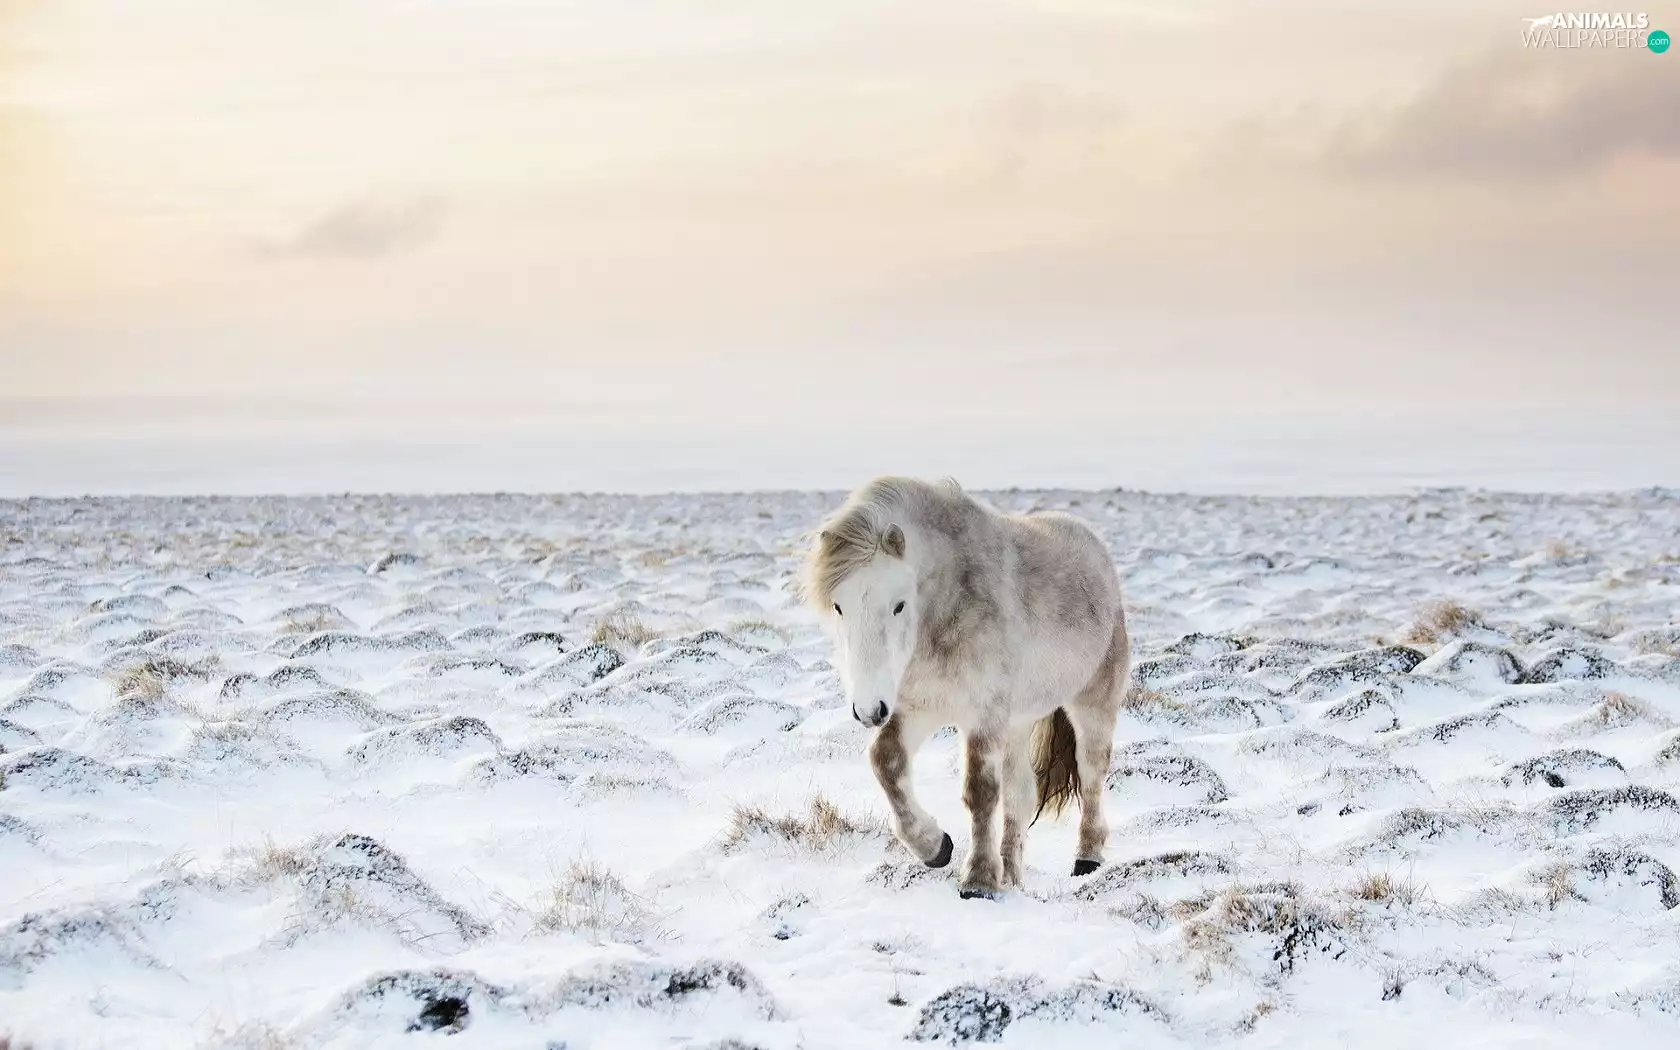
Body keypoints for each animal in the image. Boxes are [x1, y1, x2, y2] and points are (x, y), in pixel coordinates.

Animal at [803, 476, 1130, 899]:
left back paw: (1087, 860)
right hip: (1017, 722)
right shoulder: (920, 707)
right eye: (838, 606)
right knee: (1021, 795)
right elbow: (886, 762)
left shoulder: (983, 714)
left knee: (1090, 774)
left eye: (899, 604)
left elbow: (980, 791)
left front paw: (978, 880)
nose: (869, 710)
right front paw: (934, 846)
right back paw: (1012, 875)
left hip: (1093, 700)